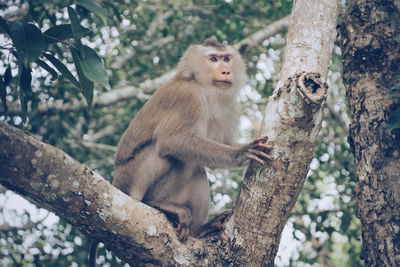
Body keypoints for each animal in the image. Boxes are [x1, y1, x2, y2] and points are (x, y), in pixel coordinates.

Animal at [89, 37, 272, 266]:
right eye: (213, 59)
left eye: (226, 58)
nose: (226, 71)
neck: (203, 87)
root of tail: (117, 184)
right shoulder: (188, 97)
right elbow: (173, 141)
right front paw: (241, 153)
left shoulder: (229, 106)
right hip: (133, 177)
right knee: (169, 155)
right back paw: (154, 203)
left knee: (197, 170)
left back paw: (201, 229)